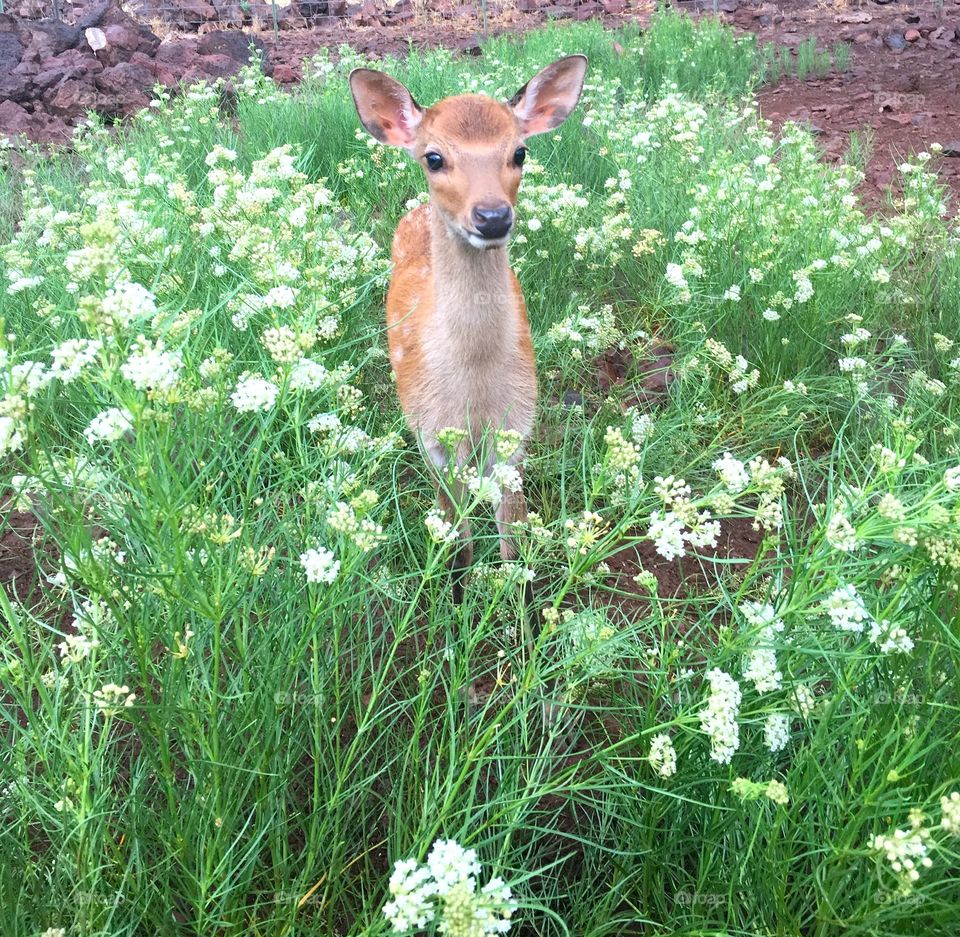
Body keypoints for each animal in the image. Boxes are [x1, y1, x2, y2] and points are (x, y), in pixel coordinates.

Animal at [348, 54, 588, 604]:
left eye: (519, 151)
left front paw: (519, 613)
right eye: (433, 157)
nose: (493, 216)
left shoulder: (518, 425)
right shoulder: (428, 430)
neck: (473, 390)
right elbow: (455, 532)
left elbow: (513, 540)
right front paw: (455, 600)